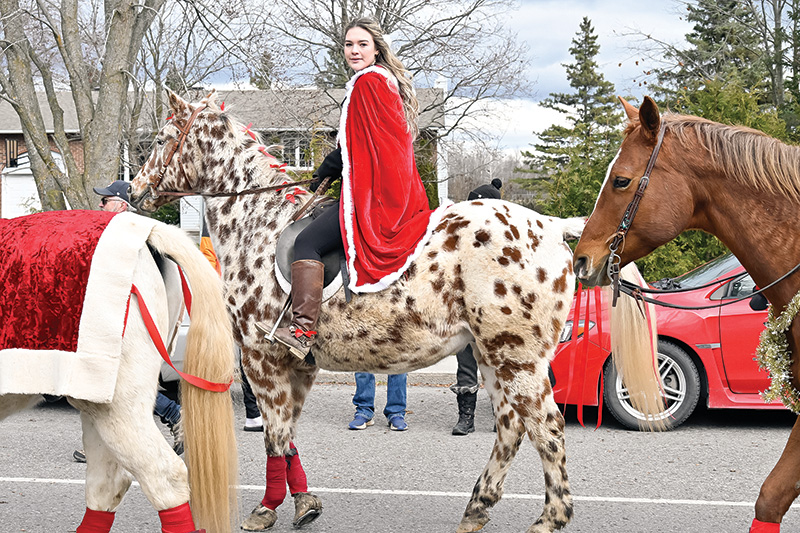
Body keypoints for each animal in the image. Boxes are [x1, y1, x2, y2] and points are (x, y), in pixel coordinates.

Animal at [131, 89, 588, 528]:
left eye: (160, 139)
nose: (135, 190)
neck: (259, 224)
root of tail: (552, 226)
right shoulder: (299, 366)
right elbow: (289, 436)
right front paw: (304, 502)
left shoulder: (262, 358)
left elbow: (275, 438)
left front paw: (266, 508)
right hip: (492, 355)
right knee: (511, 427)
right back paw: (477, 508)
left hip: (516, 358)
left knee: (546, 428)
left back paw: (550, 518)